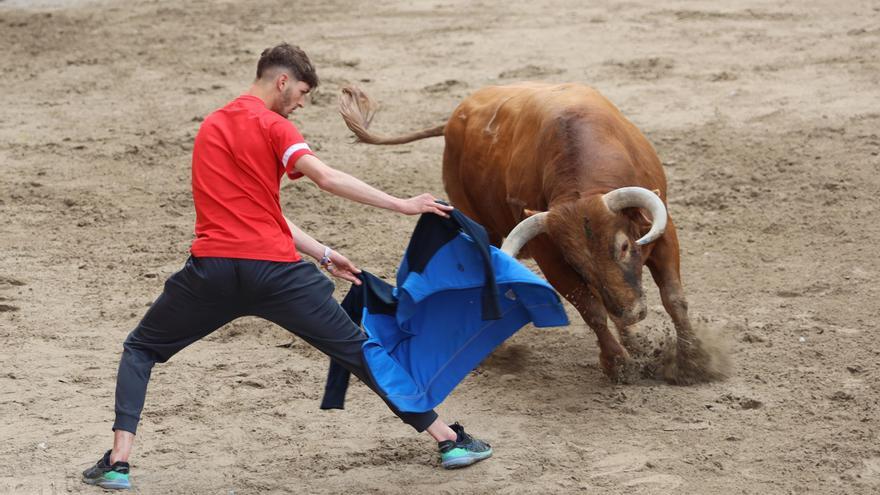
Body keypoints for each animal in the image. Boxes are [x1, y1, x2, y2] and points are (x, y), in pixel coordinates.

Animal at [340, 82, 720, 384]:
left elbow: (673, 297)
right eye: (577, 264)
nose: (630, 312)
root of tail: (452, 120)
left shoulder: (663, 231)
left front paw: (692, 363)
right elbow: (592, 311)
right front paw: (618, 365)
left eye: (625, 246)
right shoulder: (551, 256)